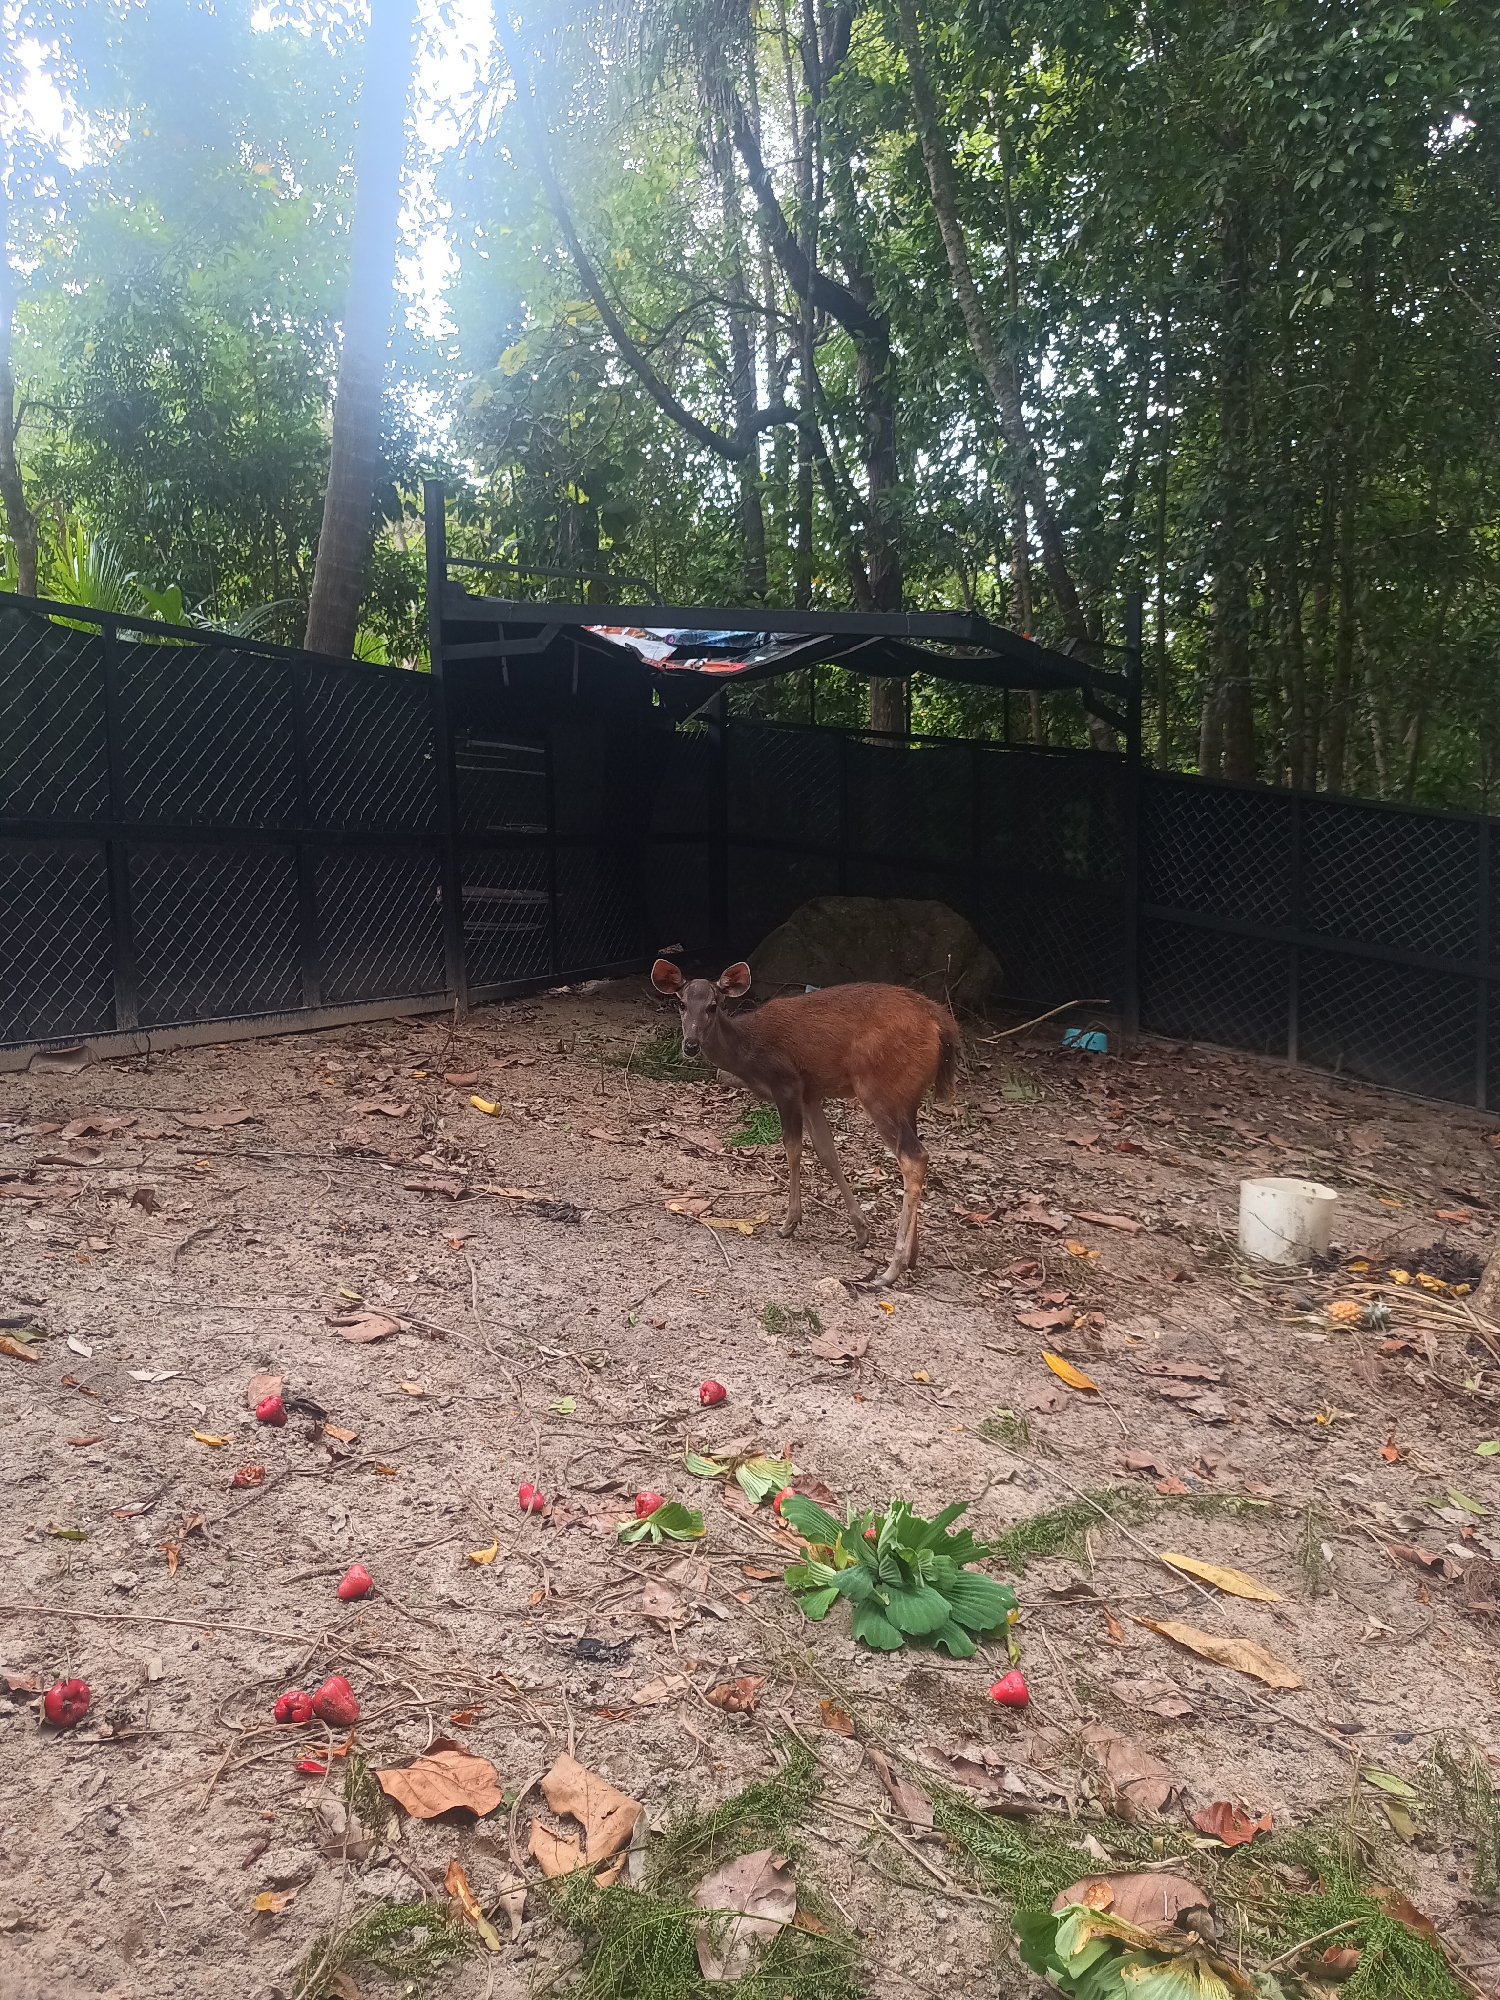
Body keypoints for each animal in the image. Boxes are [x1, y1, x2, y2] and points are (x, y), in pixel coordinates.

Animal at [651, 959, 959, 1286]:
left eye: (713, 1005)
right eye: (682, 1004)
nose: (691, 1045)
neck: (748, 1053)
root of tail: (942, 1023)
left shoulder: (787, 1083)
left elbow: (793, 1147)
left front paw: (789, 1223)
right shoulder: (811, 1093)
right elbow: (827, 1152)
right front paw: (861, 1231)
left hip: (877, 1089)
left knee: (913, 1157)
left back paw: (891, 1269)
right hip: (907, 1097)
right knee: (917, 1153)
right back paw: (912, 1256)